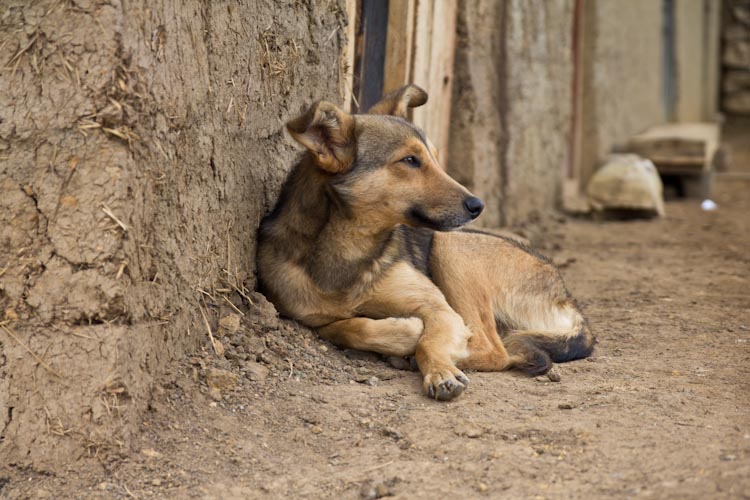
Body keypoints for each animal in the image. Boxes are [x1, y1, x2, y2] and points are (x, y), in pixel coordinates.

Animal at [260, 84, 600, 400]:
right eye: (410, 160)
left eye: (435, 158)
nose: (478, 205)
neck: (353, 248)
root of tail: (567, 297)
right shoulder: (307, 312)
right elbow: (345, 326)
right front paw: (403, 331)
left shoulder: (439, 309)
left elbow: (429, 341)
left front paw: (438, 368)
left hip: (450, 248)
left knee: (495, 349)